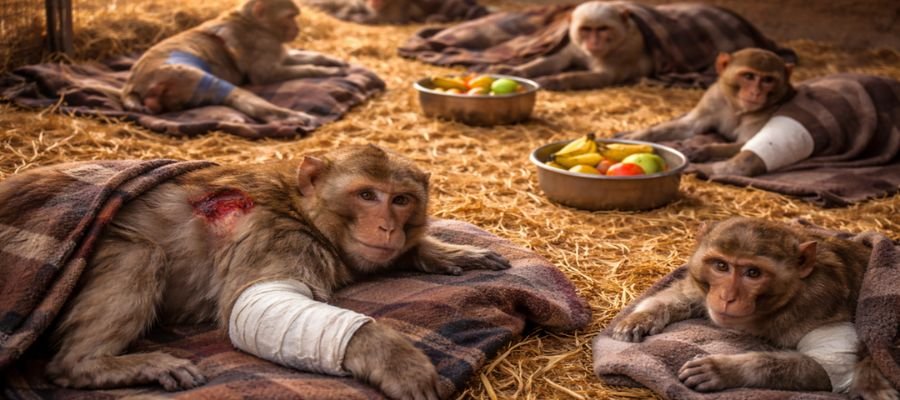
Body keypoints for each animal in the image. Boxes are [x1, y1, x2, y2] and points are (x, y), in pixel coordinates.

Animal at [43, 145, 511, 400]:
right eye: (367, 195)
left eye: (400, 200)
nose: (387, 227)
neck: (300, 209)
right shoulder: (279, 239)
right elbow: (256, 305)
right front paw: (392, 357)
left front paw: (445, 251)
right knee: (140, 254)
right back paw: (90, 364)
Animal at [121, 0, 349, 124]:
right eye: (290, 16)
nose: (297, 28)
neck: (251, 21)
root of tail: (132, 85)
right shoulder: (260, 41)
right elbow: (266, 75)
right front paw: (324, 72)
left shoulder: (271, 43)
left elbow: (288, 57)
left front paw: (330, 61)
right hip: (179, 76)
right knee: (229, 91)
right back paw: (283, 116)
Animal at [491, 1, 652, 91]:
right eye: (586, 29)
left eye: (603, 29)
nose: (594, 42)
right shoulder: (576, 45)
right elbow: (559, 59)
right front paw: (516, 70)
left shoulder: (625, 50)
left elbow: (605, 76)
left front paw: (556, 81)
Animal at [611, 217, 898, 399]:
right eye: (721, 266)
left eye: (753, 273)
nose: (727, 297)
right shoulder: (705, 293)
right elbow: (684, 295)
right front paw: (640, 318)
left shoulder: (821, 308)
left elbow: (827, 366)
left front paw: (723, 370)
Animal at [623, 48, 796, 177]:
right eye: (749, 76)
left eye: (768, 80)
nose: (756, 93)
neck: (737, 108)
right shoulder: (714, 98)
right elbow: (690, 127)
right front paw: (637, 136)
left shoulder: (768, 112)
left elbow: (748, 142)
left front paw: (703, 150)